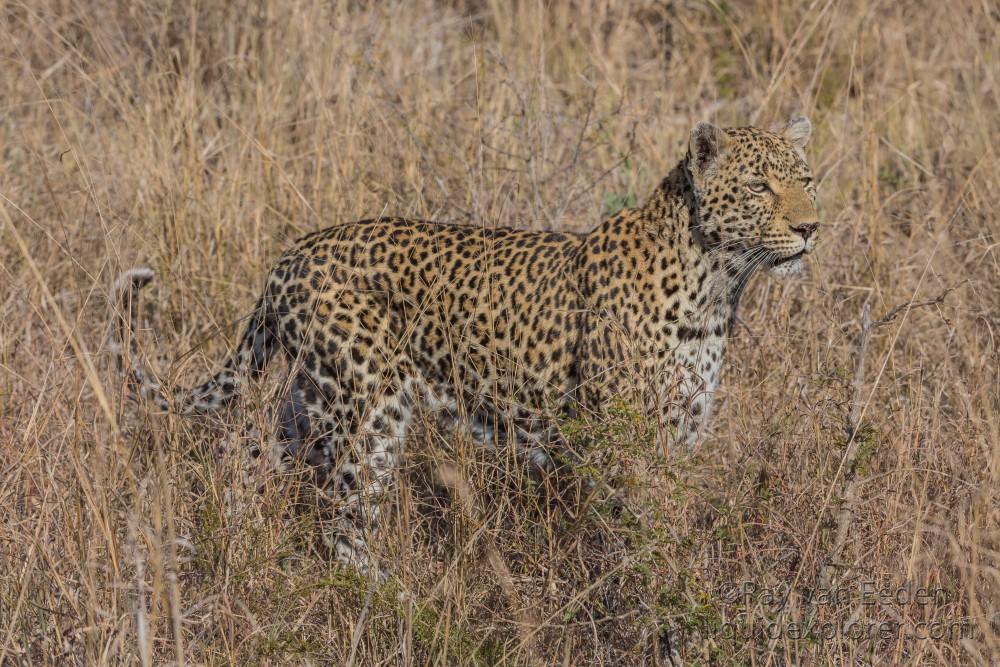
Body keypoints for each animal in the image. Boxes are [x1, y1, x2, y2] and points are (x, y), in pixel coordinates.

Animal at [111, 115, 820, 576]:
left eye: (807, 179)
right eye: (759, 186)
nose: (811, 227)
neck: (717, 285)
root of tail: (291, 254)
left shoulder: (680, 433)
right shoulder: (622, 443)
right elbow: (639, 536)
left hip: (312, 404)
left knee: (251, 454)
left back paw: (224, 544)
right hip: (368, 408)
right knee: (345, 523)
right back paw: (387, 599)